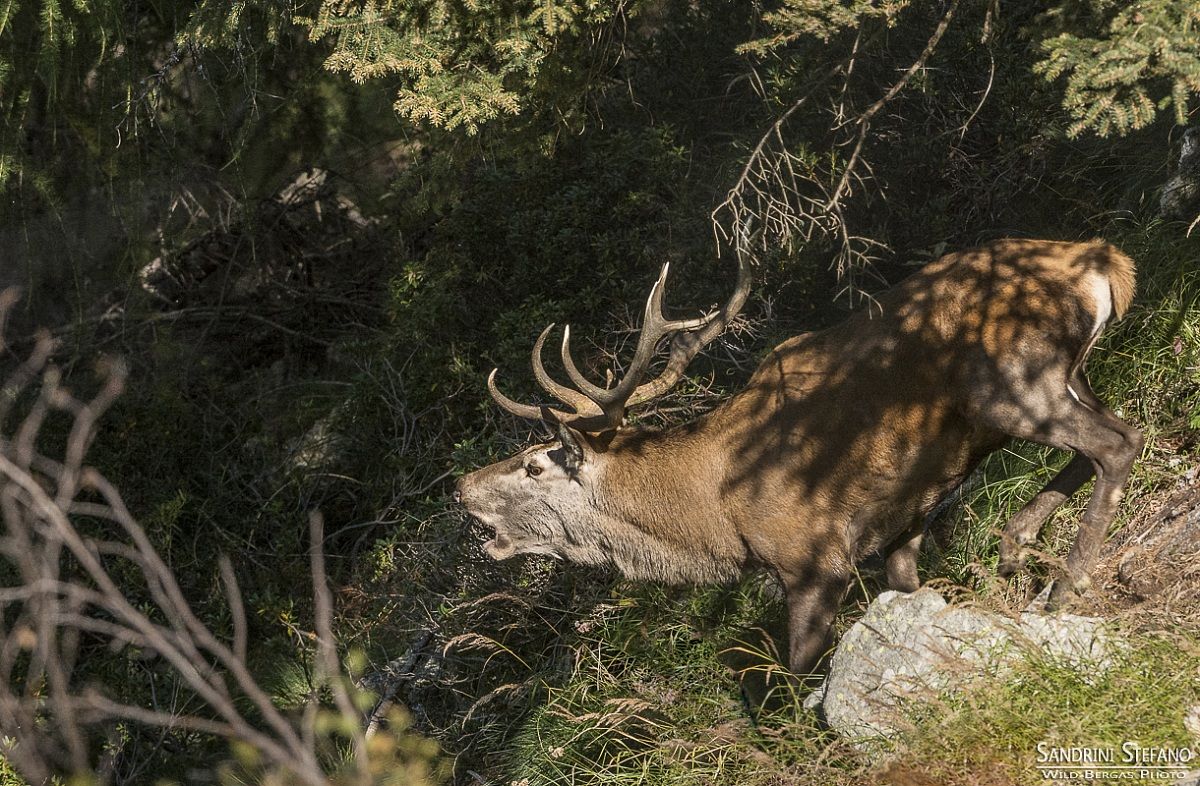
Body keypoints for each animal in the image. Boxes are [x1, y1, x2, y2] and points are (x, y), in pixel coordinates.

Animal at [454, 239, 1142, 674]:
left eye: (534, 463)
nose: (460, 485)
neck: (716, 514)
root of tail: (1106, 261)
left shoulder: (814, 556)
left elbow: (797, 676)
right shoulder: (902, 525)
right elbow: (910, 588)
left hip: (1012, 382)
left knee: (1119, 443)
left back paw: (1066, 584)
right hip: (1063, 379)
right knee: (1106, 437)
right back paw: (1016, 545)